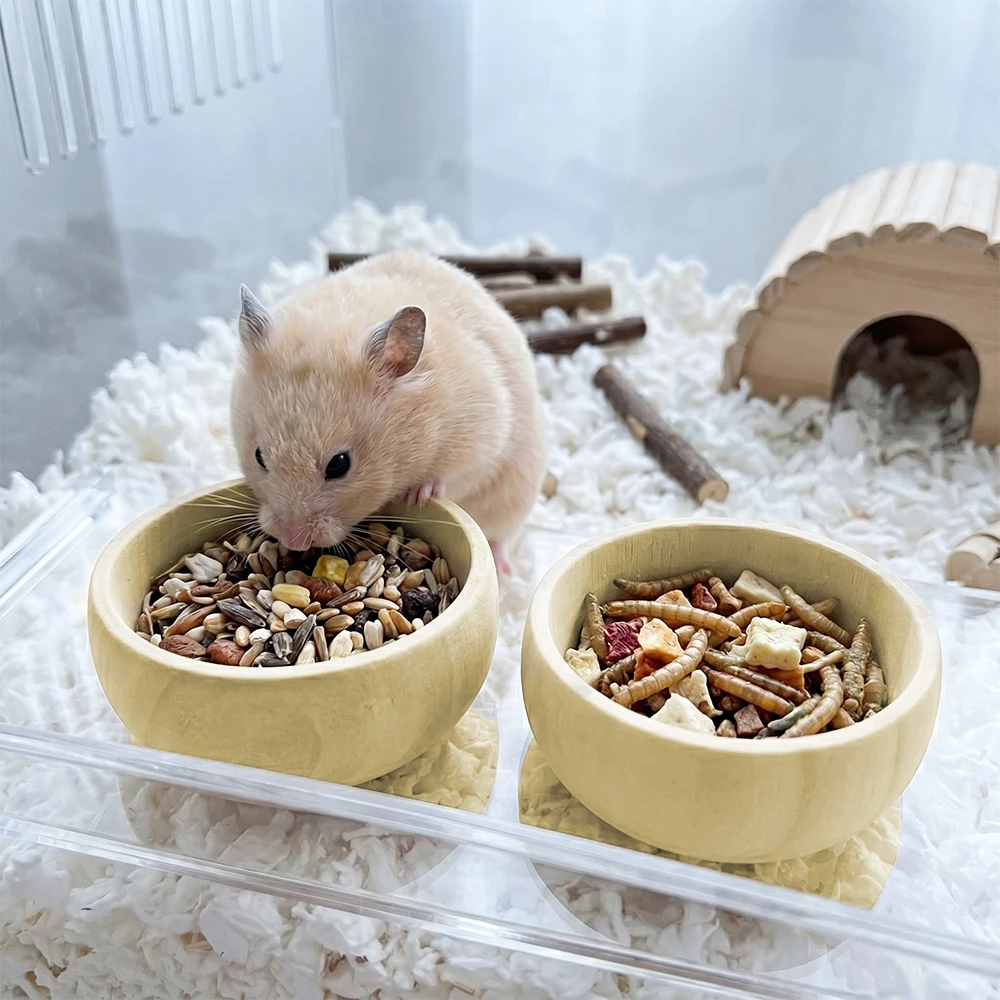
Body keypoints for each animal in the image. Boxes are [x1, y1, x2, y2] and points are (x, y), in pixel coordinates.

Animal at [230, 250, 547, 574]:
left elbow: (455, 472)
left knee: (499, 536)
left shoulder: (483, 436)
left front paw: (420, 495)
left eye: (339, 465)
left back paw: (504, 570)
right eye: (258, 456)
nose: (293, 540)